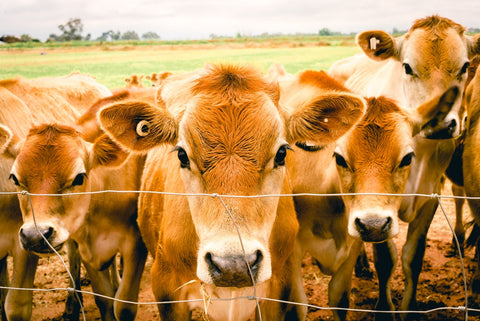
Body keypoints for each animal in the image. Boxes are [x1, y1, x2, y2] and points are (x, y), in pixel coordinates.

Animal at [270, 65, 458, 320]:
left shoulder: (352, 245)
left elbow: (340, 298)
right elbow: (296, 307)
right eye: (339, 158)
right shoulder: (291, 253)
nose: (374, 225)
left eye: (407, 158)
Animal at [328, 15, 480, 318]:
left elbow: (413, 257)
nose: (441, 123)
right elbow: (386, 259)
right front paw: (384, 308)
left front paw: (409, 307)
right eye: (407, 67)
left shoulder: (430, 196)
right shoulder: (379, 206)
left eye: (465, 67)